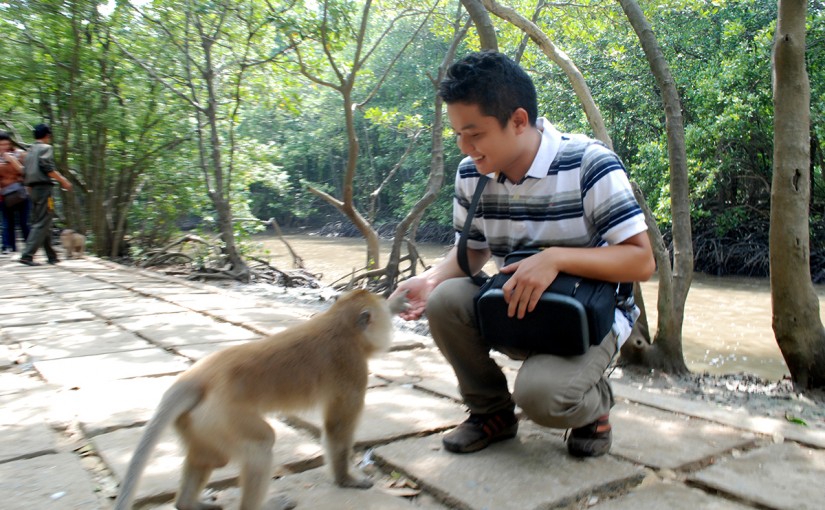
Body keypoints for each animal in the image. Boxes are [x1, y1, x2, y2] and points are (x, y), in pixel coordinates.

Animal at [114, 286, 410, 510]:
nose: (389, 324)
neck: (338, 322)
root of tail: (199, 375)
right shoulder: (352, 367)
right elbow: (338, 428)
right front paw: (346, 478)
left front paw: (397, 302)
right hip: (224, 416)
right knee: (260, 445)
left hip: (197, 421)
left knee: (210, 457)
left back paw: (187, 503)